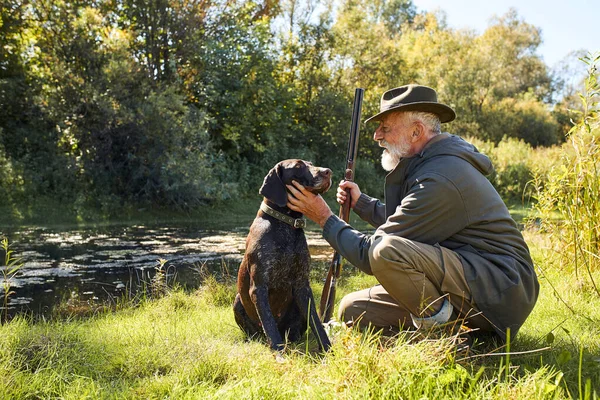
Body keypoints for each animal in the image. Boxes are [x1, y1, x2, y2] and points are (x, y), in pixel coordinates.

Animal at [232, 158, 332, 352]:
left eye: (311, 163)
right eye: (298, 166)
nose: (327, 171)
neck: (286, 225)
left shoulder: (302, 286)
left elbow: (316, 321)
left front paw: (327, 348)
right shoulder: (259, 287)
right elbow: (269, 325)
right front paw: (279, 352)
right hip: (237, 301)